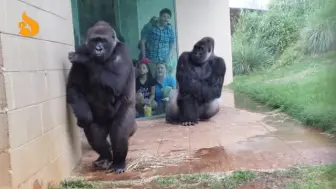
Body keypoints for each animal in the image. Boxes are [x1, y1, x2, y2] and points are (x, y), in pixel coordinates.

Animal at [65, 20, 136, 173]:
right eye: (94, 40)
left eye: (102, 40)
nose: (98, 49)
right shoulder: (83, 47)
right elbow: (74, 87)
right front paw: (84, 116)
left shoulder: (122, 51)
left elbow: (117, 81)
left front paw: (84, 59)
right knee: (95, 132)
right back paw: (106, 157)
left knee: (119, 132)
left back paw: (118, 162)